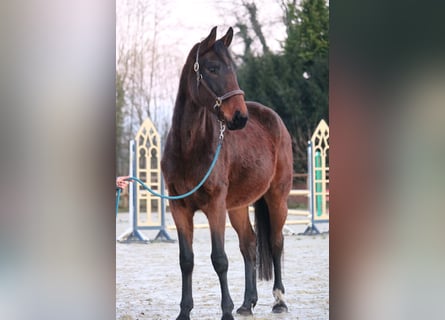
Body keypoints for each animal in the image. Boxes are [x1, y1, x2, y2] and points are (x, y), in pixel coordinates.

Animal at [161, 27, 294, 320]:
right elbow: (186, 260)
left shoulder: (215, 206)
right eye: (212, 68)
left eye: (232, 68)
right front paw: (184, 312)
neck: (189, 147)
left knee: (276, 242)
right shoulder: (179, 208)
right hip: (238, 207)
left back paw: (279, 301)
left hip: (276, 197)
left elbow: (219, 259)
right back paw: (247, 303)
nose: (239, 118)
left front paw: (226, 311)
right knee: (250, 245)